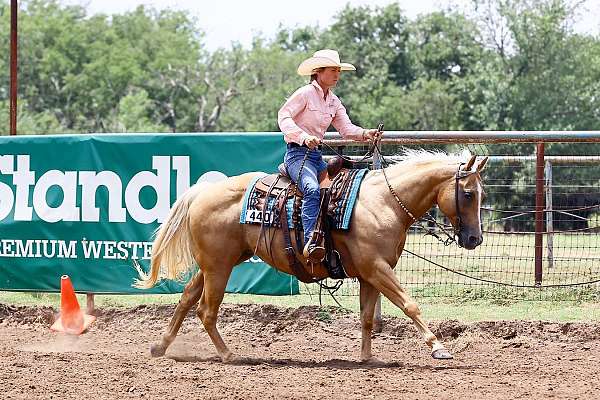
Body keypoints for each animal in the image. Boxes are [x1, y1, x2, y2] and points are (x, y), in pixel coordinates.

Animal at [136, 150, 488, 362]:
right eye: (469, 194)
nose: (475, 239)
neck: (384, 202)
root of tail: (201, 192)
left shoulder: (370, 273)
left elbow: (368, 317)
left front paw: (367, 358)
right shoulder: (378, 268)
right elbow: (409, 304)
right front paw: (439, 347)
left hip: (214, 265)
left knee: (186, 299)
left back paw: (160, 346)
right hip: (219, 268)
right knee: (206, 311)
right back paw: (229, 355)